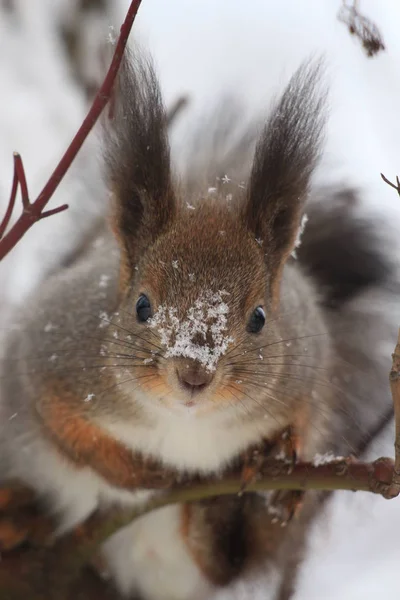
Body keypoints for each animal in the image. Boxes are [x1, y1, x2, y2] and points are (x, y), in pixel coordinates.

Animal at [0, 51, 398, 600]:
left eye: (259, 318)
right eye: (142, 306)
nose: (194, 374)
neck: (187, 425)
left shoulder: (306, 365)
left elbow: (309, 414)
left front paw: (285, 453)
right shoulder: (51, 353)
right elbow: (60, 424)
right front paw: (132, 469)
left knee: (225, 563)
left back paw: (216, 513)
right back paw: (19, 519)